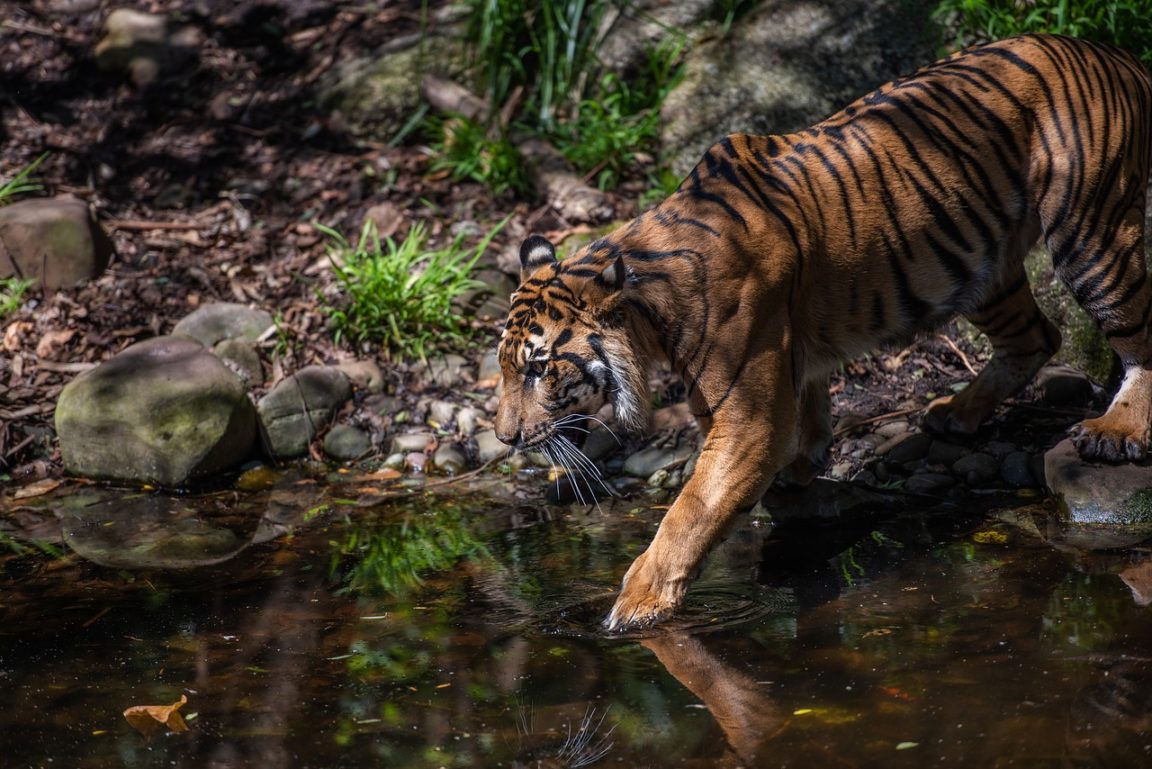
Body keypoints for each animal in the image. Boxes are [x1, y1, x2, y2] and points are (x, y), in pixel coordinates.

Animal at [494, 34, 1152, 631]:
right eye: (504, 368)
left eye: (538, 367)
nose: (504, 439)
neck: (651, 311)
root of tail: (1113, 53)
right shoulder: (784, 364)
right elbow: (806, 406)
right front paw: (802, 464)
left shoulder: (747, 415)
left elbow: (691, 511)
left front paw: (635, 606)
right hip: (980, 265)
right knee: (1035, 337)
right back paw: (954, 413)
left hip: (1090, 231)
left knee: (1134, 334)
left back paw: (1117, 430)